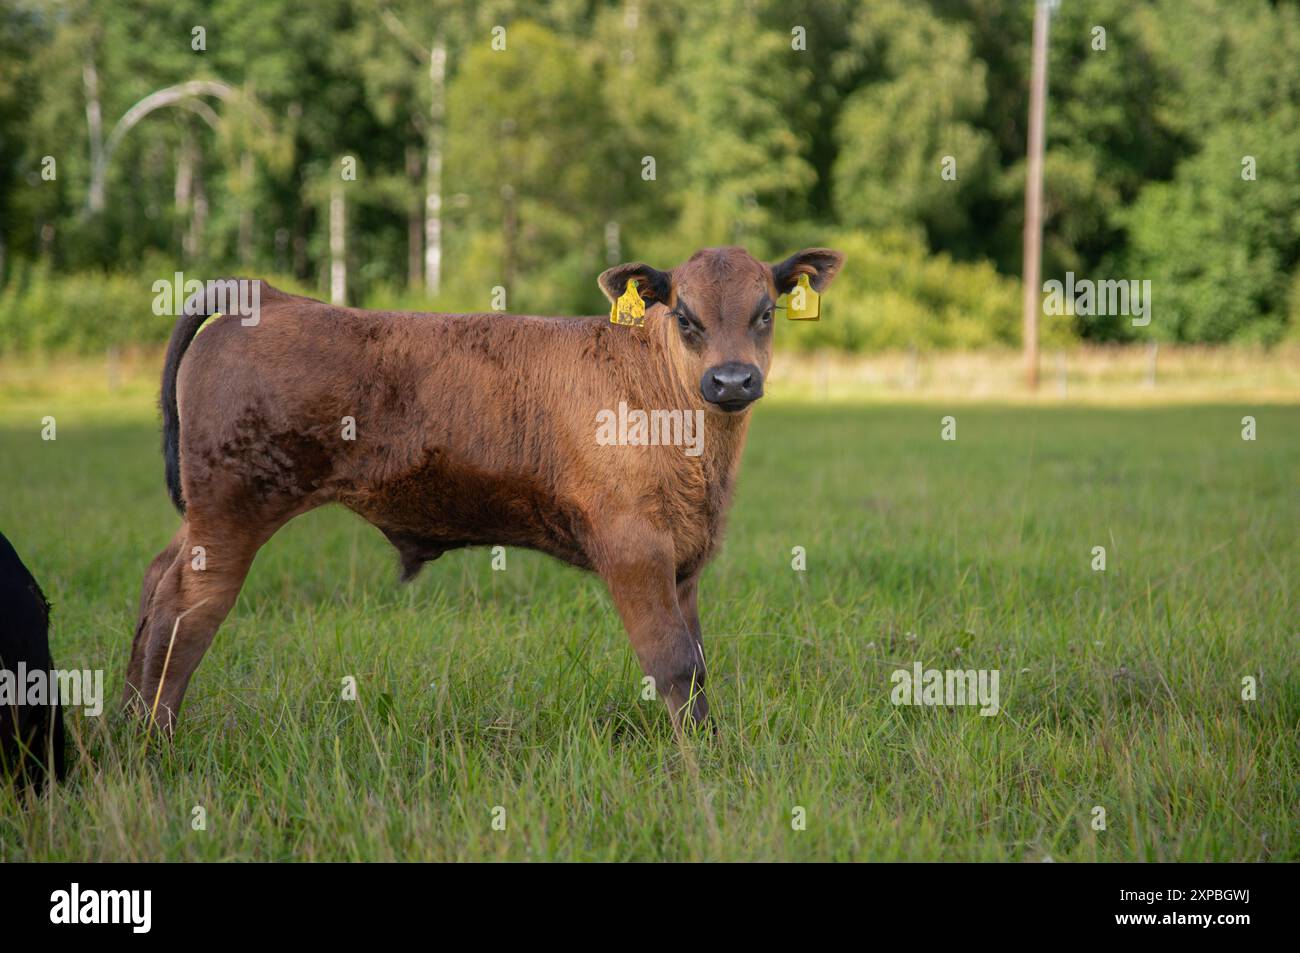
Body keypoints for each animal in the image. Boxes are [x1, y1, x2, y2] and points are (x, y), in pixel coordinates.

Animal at [124, 246, 844, 733]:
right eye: (687, 317)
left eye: (765, 311)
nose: (732, 380)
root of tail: (271, 296)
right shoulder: (635, 549)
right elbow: (672, 661)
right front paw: (701, 773)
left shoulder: (684, 559)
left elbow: (696, 662)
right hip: (233, 508)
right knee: (188, 611)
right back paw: (153, 742)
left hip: (204, 517)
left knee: (157, 582)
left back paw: (127, 724)